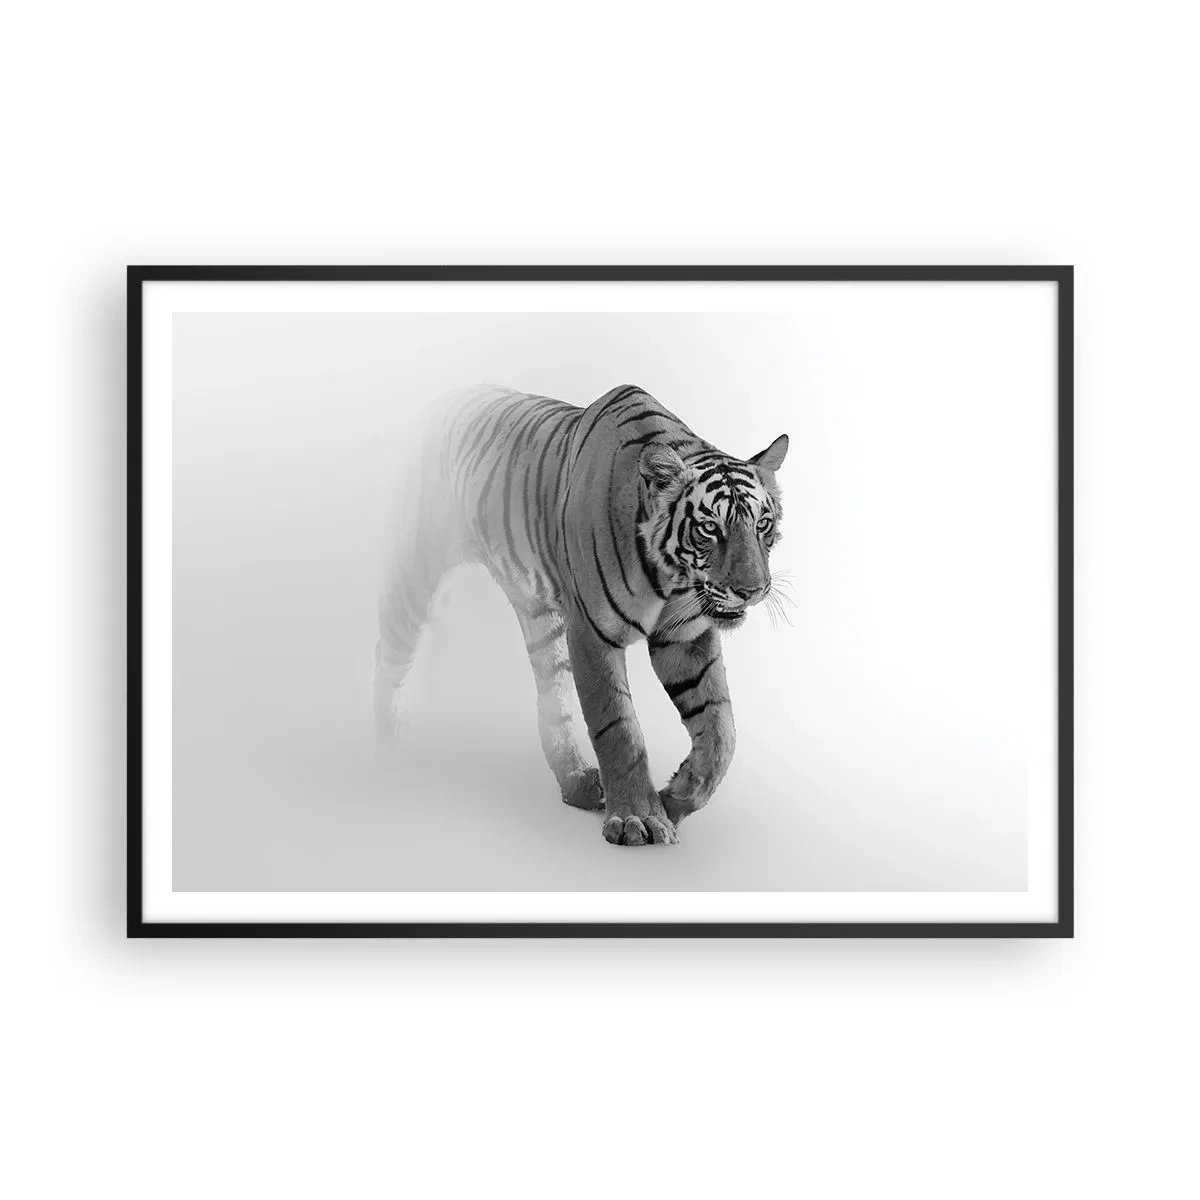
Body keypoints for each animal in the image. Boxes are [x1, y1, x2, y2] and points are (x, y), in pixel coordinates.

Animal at [374, 383, 788, 846]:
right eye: (710, 528)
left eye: (762, 524)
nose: (752, 591)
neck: (671, 578)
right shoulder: (592, 633)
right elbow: (619, 728)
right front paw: (638, 819)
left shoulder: (684, 636)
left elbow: (721, 730)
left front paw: (675, 799)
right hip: (418, 566)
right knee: (389, 649)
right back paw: (385, 743)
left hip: (541, 620)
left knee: (552, 701)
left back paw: (577, 783)